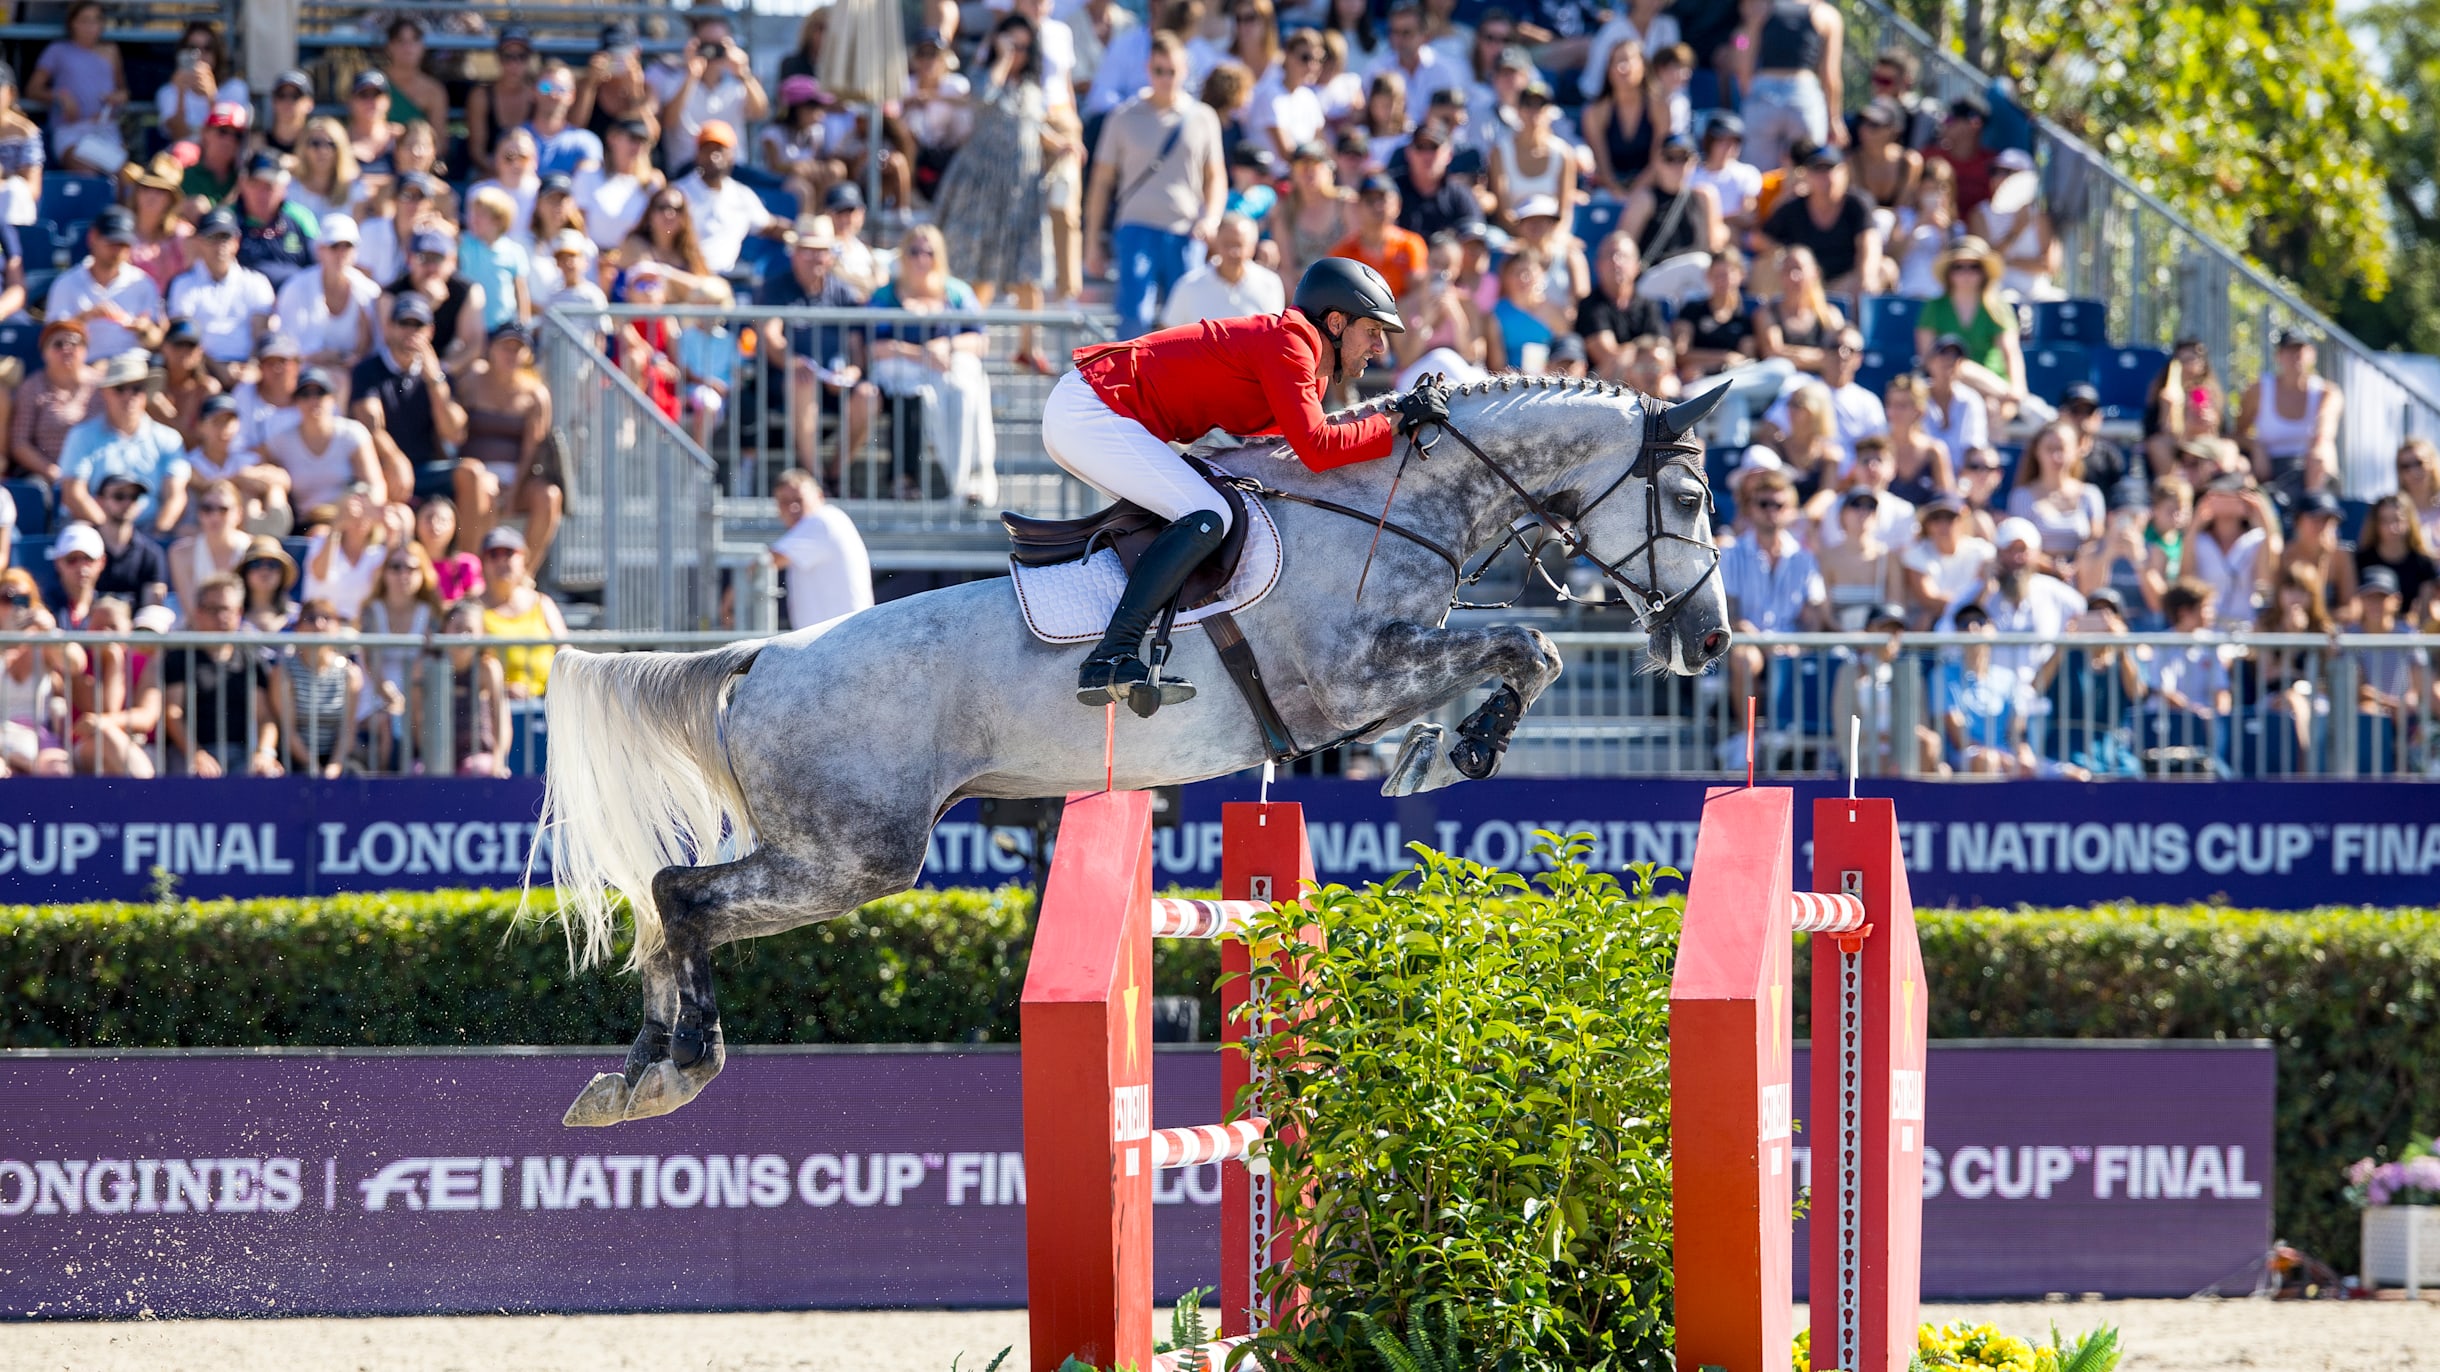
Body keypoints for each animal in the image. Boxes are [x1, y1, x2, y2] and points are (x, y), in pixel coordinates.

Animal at [534, 373, 1737, 1122]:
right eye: (1686, 496)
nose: (1711, 639)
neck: (1390, 506)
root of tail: (763, 657)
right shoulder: (1354, 676)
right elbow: (1528, 643)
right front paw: (1463, 746)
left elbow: (1514, 651)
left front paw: (1440, 750)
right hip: (851, 856)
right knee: (681, 895)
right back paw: (676, 1068)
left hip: (838, 853)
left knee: (668, 901)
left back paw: (631, 1072)